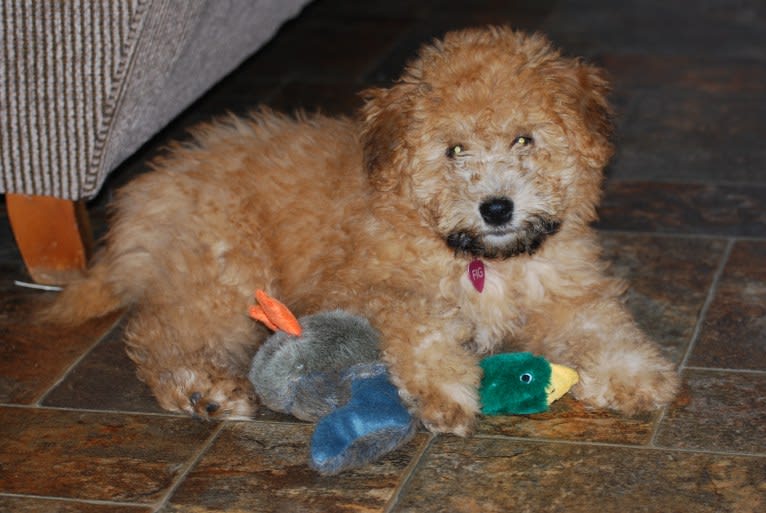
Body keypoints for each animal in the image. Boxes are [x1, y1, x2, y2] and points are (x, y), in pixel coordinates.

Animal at [51, 25, 680, 432]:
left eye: (524, 138)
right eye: (454, 150)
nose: (497, 208)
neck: (479, 259)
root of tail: (153, 183)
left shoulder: (567, 291)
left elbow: (600, 327)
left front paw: (636, 374)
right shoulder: (363, 288)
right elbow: (419, 320)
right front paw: (443, 389)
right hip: (227, 270)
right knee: (161, 331)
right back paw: (203, 390)